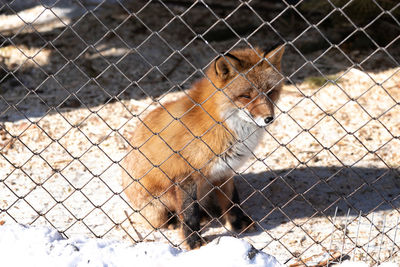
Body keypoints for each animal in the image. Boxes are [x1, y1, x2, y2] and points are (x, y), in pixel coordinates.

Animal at [122, 44, 284, 251]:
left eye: (270, 92)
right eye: (246, 96)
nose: (268, 119)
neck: (222, 124)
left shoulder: (225, 170)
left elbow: (232, 201)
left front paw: (239, 224)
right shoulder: (185, 175)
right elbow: (190, 213)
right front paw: (193, 241)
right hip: (157, 201)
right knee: (162, 219)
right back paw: (175, 222)